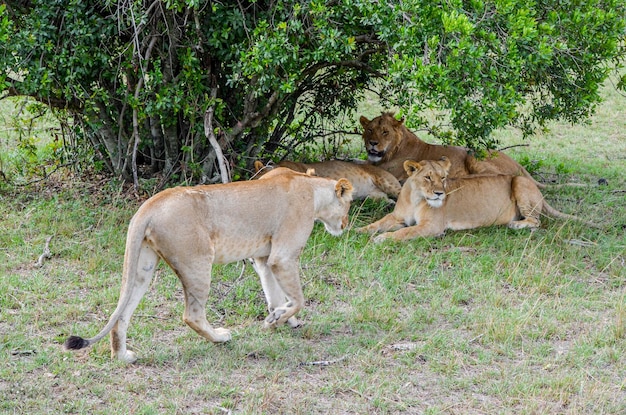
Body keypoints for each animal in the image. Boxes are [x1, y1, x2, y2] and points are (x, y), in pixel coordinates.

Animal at [67, 167, 356, 362]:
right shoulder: (282, 256)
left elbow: (275, 294)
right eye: (349, 204)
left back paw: (123, 356)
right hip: (197, 262)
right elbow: (298, 298)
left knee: (122, 314)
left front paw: (281, 319)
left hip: (142, 268)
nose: (345, 225)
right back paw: (220, 337)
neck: (311, 187)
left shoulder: (264, 259)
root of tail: (148, 206)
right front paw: (278, 320)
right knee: (192, 315)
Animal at [358, 111, 540, 184]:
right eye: (370, 130)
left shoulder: (392, 171)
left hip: (474, 154)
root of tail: (519, 165)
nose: (372, 143)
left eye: (385, 132)